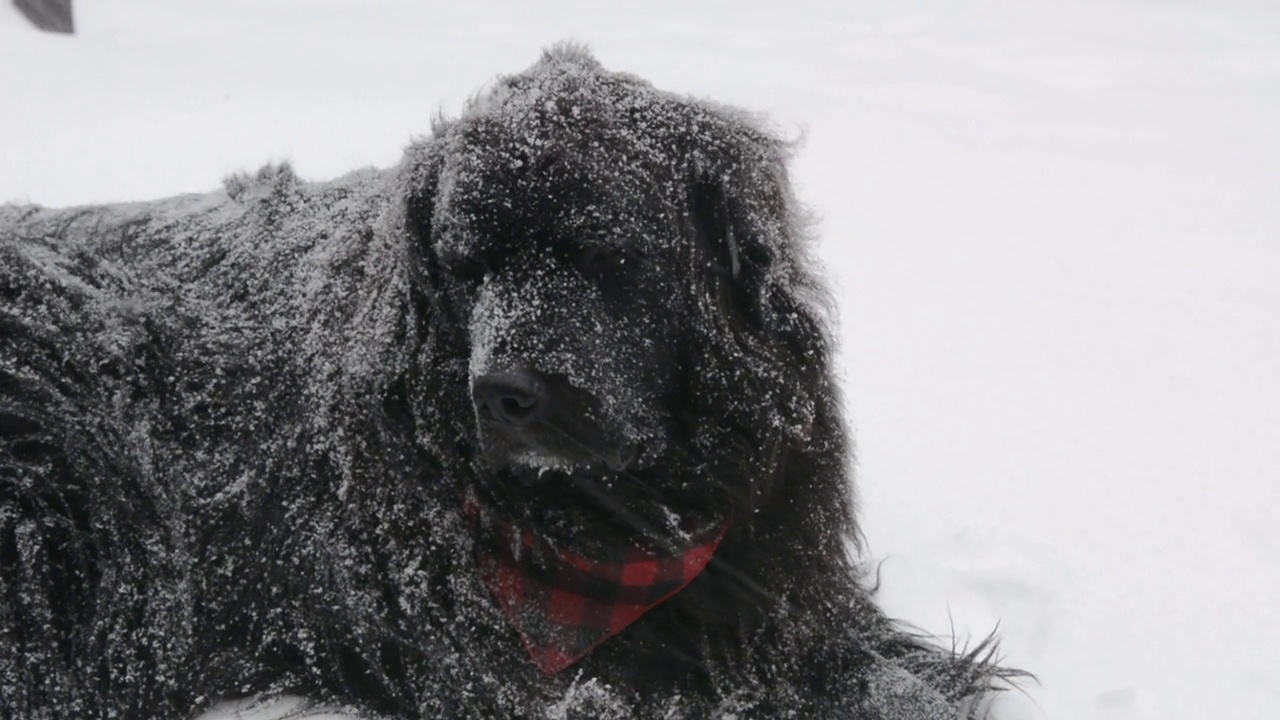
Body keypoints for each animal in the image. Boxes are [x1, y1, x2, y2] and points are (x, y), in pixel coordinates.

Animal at [0, 46, 1018, 717]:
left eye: (604, 256)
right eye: (466, 266)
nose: (502, 393)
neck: (632, 518)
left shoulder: (769, 585)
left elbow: (888, 674)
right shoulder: (498, 665)